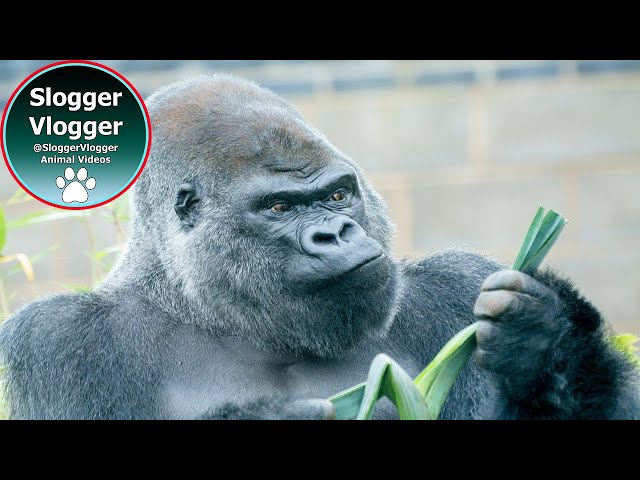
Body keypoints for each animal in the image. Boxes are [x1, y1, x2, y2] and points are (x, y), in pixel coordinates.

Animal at [1, 73, 640, 418]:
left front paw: (542, 342)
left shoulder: (454, 287)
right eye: (280, 207)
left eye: (337, 196)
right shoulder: (57, 341)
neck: (206, 308)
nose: (334, 234)